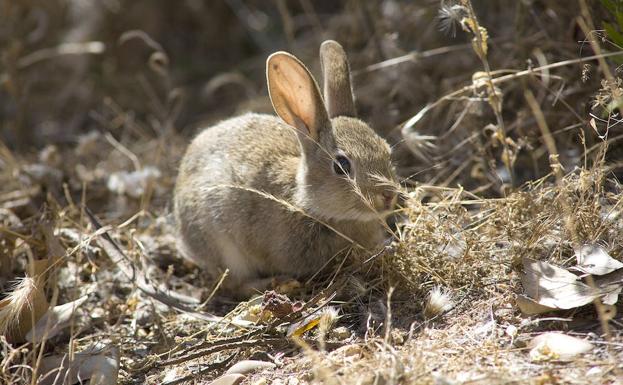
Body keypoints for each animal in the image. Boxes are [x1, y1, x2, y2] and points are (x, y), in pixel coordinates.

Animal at [174, 40, 400, 296]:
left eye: (387, 151)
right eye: (342, 166)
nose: (389, 195)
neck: (307, 203)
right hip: (221, 243)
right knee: (234, 283)